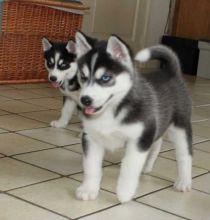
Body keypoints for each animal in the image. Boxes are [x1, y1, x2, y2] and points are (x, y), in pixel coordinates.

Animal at [74, 32, 193, 203]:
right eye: (83, 77)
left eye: (105, 78)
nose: (85, 100)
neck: (112, 110)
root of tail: (171, 72)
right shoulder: (91, 138)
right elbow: (91, 167)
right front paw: (88, 189)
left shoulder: (139, 140)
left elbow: (129, 169)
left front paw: (124, 193)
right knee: (157, 143)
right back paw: (147, 167)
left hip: (180, 128)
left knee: (185, 155)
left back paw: (184, 181)